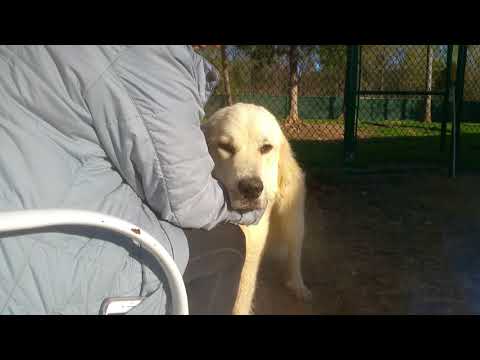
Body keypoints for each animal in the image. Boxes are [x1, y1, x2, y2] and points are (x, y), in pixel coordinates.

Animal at [202, 102, 312, 314]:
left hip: (293, 222)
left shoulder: (249, 260)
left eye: (266, 148)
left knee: (294, 254)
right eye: (225, 147)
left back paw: (298, 286)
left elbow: (240, 303)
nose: (251, 188)